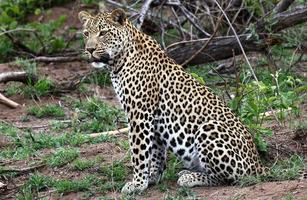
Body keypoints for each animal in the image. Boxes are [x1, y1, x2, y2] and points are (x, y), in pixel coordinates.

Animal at [77, 8, 268, 193]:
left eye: (103, 33)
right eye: (86, 33)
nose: (90, 49)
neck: (118, 62)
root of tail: (259, 165)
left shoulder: (139, 113)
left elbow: (139, 152)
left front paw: (137, 183)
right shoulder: (153, 118)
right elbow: (155, 151)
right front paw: (152, 177)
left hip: (209, 129)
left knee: (228, 179)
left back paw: (189, 177)